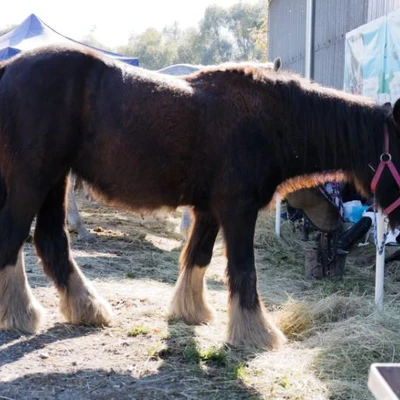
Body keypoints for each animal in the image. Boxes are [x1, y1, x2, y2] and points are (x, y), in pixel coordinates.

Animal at [0, 45, 400, 348]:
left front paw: (191, 312)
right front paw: (256, 333)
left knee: (51, 241)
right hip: (33, 179)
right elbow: (243, 269)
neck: (268, 120)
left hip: (55, 179)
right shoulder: (238, 210)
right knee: (14, 237)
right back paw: (20, 315)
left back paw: (87, 308)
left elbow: (198, 257)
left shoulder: (209, 211)